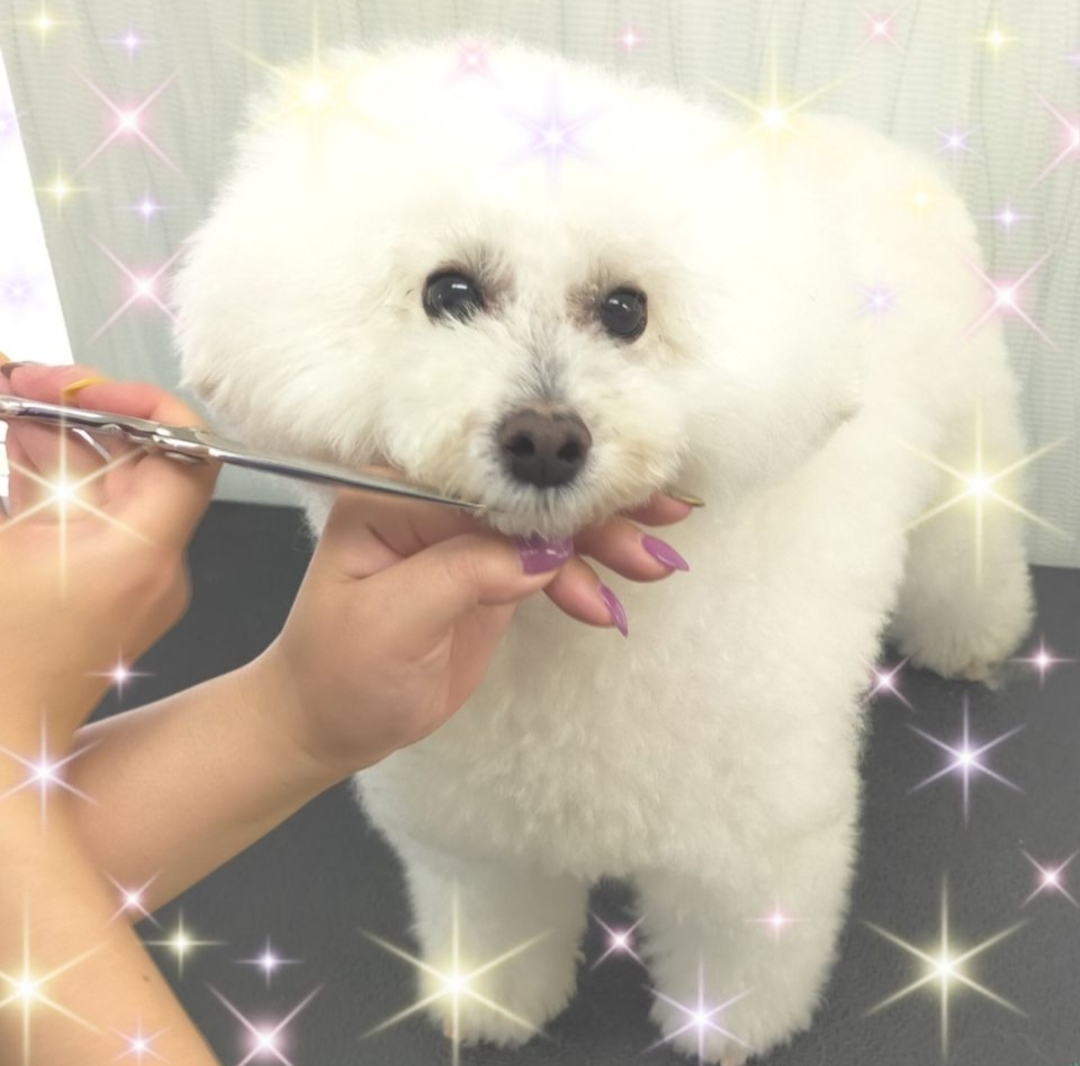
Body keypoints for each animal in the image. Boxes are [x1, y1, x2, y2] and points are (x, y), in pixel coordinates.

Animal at [174, 40, 1033, 1063]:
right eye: (449, 292)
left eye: (627, 310)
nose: (546, 439)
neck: (560, 656)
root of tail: (870, 143)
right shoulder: (477, 833)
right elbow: (500, 920)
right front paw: (492, 1004)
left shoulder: (749, 845)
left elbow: (741, 945)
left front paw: (727, 1028)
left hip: (968, 444)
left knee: (966, 548)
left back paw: (975, 637)